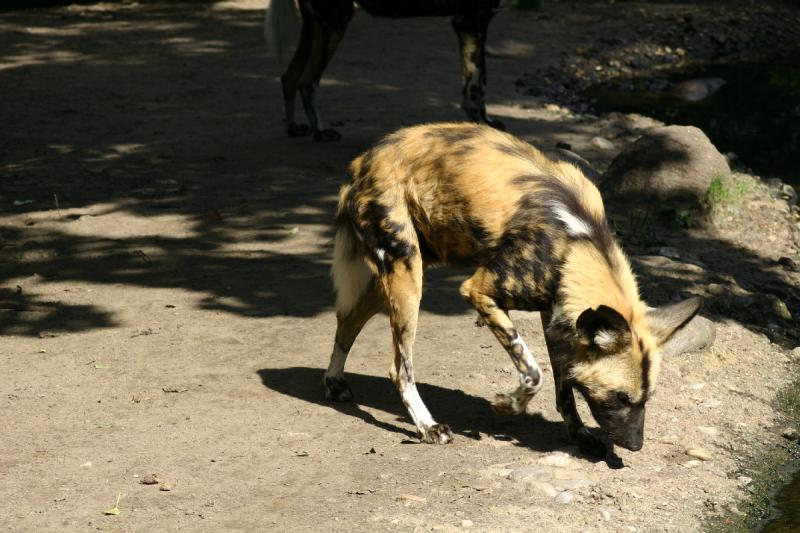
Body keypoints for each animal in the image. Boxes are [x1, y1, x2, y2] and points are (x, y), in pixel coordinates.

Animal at [268, 0, 506, 141]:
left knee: (289, 77)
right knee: (308, 82)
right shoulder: (471, 21)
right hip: (335, 22)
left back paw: (294, 128)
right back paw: (319, 132)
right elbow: (477, 88)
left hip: (320, 25)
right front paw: (483, 127)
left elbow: (477, 87)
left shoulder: (472, 23)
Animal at [324, 122, 700, 456]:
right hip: (407, 276)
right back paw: (428, 427)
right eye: (621, 397)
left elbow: (563, 387)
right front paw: (509, 404)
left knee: (347, 319)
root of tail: (363, 160)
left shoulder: (556, 315)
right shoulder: (480, 292)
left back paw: (334, 383)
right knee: (399, 368)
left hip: (404, 273)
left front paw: (579, 435)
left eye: (646, 399)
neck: (576, 243)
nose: (636, 446)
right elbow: (534, 372)